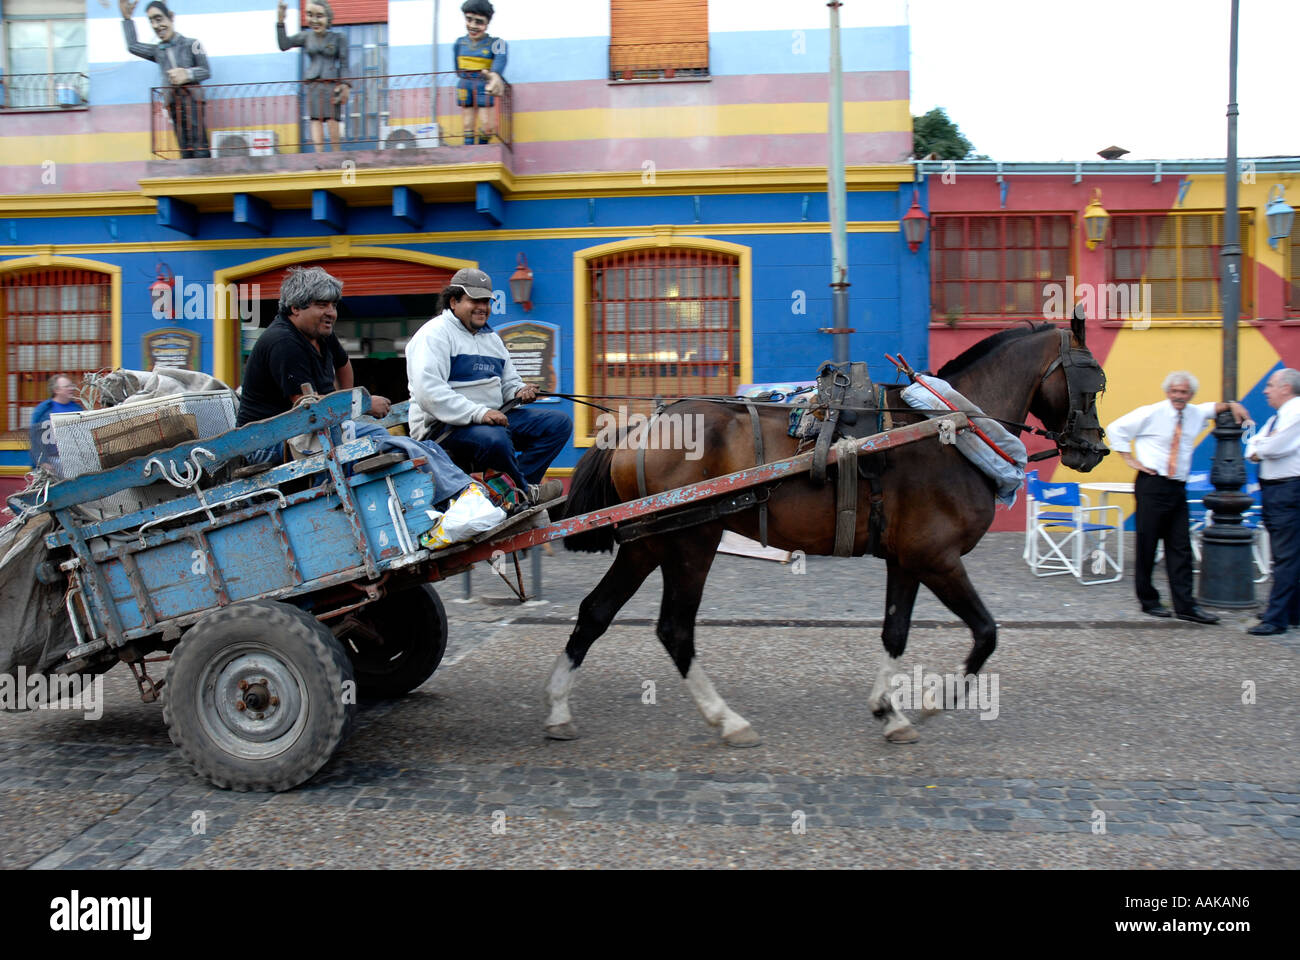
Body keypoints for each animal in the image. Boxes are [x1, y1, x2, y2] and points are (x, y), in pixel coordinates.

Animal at [546, 310, 1107, 744]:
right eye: (1091, 382)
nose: (1093, 448)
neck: (950, 427)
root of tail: (641, 427)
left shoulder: (908, 559)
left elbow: (895, 632)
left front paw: (889, 711)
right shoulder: (938, 558)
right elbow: (987, 633)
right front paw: (932, 699)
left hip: (647, 543)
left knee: (595, 612)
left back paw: (558, 708)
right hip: (689, 541)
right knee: (674, 629)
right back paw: (726, 719)